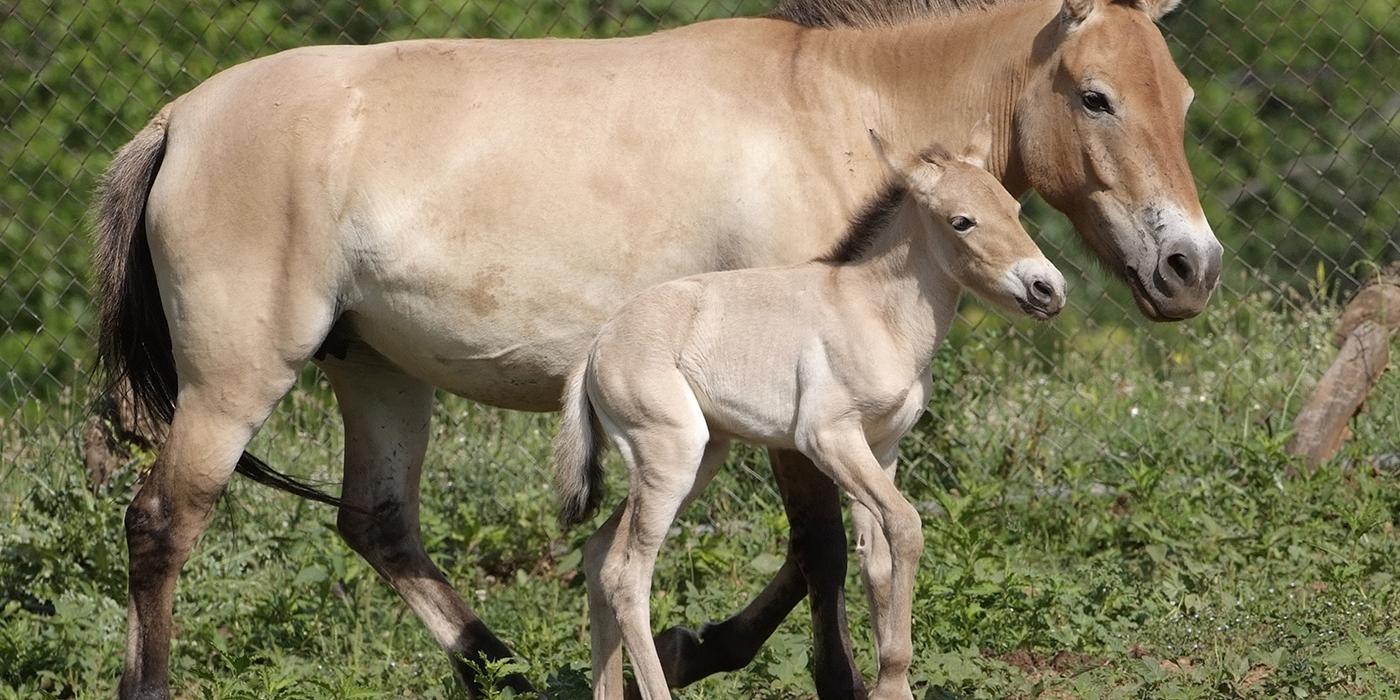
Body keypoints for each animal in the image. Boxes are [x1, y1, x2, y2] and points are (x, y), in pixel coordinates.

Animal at [551, 131, 1064, 700]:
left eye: (1015, 209)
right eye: (962, 221)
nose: (1048, 290)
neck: (876, 313)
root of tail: (597, 346)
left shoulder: (882, 449)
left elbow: (877, 558)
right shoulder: (828, 439)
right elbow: (906, 526)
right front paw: (891, 681)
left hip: (697, 459)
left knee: (598, 554)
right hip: (671, 459)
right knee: (627, 576)